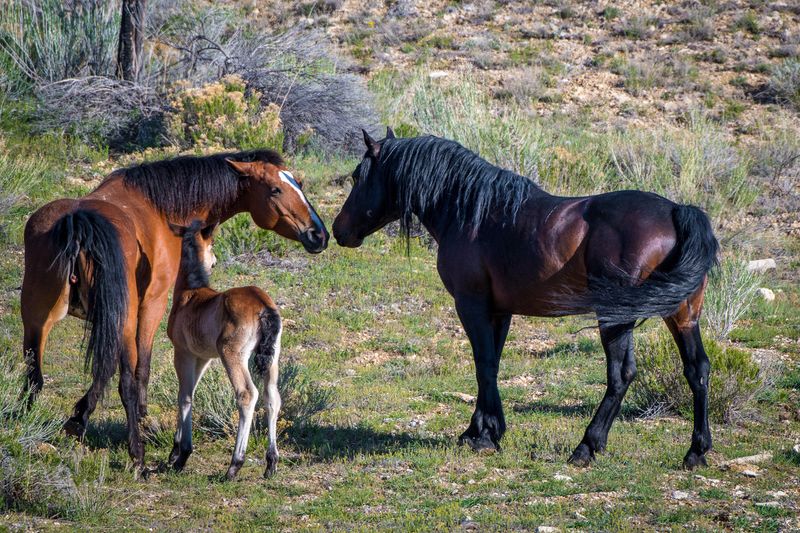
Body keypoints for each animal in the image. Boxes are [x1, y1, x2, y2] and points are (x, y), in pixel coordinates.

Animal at [166, 218, 284, 480]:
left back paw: (234, 465)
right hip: (273, 359)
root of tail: (263, 305)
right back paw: (271, 463)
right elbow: (190, 392)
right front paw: (176, 452)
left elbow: (184, 396)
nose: (215, 260)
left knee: (247, 394)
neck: (190, 293)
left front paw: (180, 456)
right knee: (272, 397)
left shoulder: (183, 353)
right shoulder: (203, 358)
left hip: (232, 355)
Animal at [332, 131, 720, 468]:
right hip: (683, 315)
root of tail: (676, 211)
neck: (472, 212)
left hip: (616, 317)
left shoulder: (472, 305)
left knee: (621, 374)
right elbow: (492, 364)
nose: (338, 230)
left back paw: (586, 446)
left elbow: (484, 364)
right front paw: (479, 430)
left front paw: (485, 436)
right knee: (697, 369)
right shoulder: (500, 312)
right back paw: (695, 452)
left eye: (357, 176)